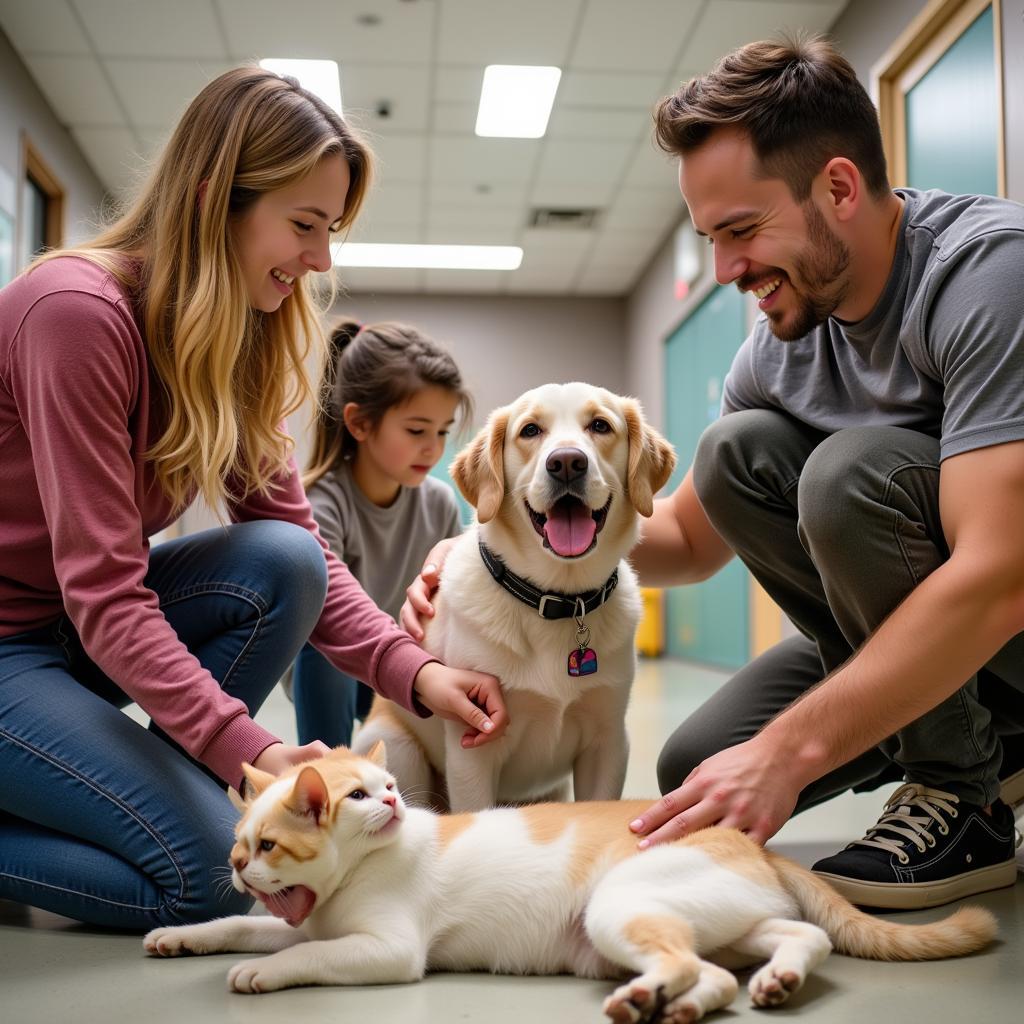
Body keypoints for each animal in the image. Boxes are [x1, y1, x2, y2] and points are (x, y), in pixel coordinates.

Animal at [144, 745, 991, 1024]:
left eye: (269, 846)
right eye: (240, 849)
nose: (239, 868)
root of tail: (743, 836)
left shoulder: (386, 950)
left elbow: (300, 955)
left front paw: (258, 974)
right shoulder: (298, 919)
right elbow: (240, 927)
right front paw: (182, 937)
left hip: (618, 909)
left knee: (689, 964)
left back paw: (648, 998)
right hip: (709, 918)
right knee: (765, 951)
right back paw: (753, 986)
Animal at [356, 380, 675, 811]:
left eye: (600, 425)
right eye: (530, 431)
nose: (567, 463)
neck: (559, 600)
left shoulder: (607, 742)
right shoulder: (472, 750)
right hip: (394, 744)